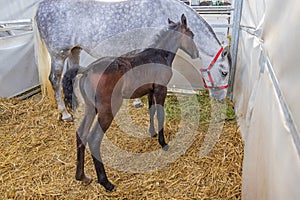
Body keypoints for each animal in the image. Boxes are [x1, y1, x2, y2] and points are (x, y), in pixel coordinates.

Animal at [34, 0, 231, 121]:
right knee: (55, 80)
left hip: (74, 51)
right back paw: (65, 113)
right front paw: (137, 102)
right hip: (58, 54)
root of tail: (41, 8)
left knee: (71, 75)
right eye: (224, 72)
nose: (222, 99)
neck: (164, 12)